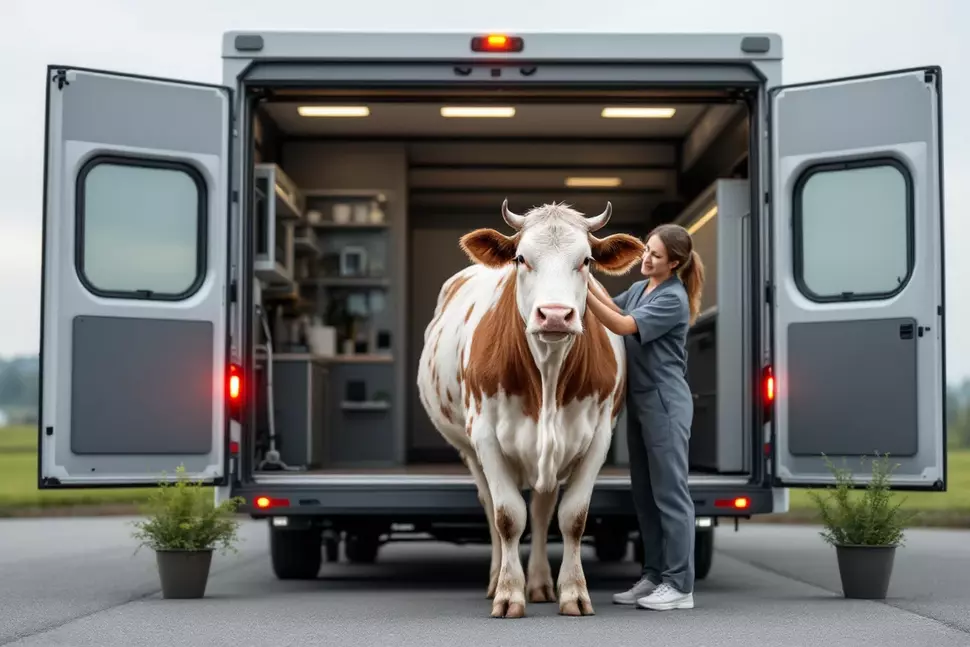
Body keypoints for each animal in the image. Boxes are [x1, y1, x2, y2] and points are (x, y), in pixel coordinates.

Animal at [416, 200, 645, 618]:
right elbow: (507, 516)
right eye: (521, 258)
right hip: (470, 451)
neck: (548, 378)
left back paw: (539, 582)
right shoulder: (485, 436)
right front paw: (509, 594)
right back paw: (497, 580)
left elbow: (572, 517)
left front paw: (573, 593)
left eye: (586, 260)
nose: (554, 314)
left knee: (541, 510)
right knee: (491, 508)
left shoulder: (598, 437)